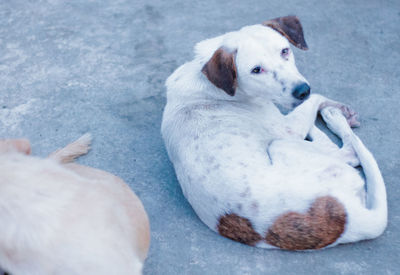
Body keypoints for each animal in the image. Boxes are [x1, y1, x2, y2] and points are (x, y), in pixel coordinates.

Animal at [162, 16, 388, 251]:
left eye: (284, 51)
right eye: (256, 70)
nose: (302, 90)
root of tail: (350, 218)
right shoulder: (288, 128)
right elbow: (316, 99)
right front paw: (333, 107)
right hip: (282, 144)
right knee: (347, 150)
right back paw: (335, 119)